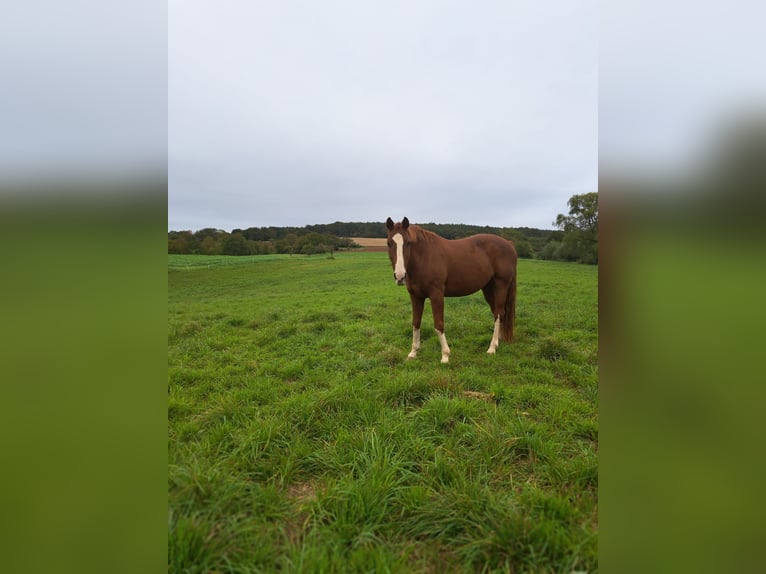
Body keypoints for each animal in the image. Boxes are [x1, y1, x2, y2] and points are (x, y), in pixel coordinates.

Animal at [388, 218, 520, 362]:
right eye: (389, 243)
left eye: (408, 243)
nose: (400, 276)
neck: (424, 257)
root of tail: (509, 244)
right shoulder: (416, 296)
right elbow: (416, 323)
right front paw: (413, 352)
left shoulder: (436, 295)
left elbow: (439, 324)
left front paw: (445, 355)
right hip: (489, 288)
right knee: (498, 312)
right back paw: (499, 340)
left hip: (501, 285)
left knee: (498, 313)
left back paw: (492, 348)